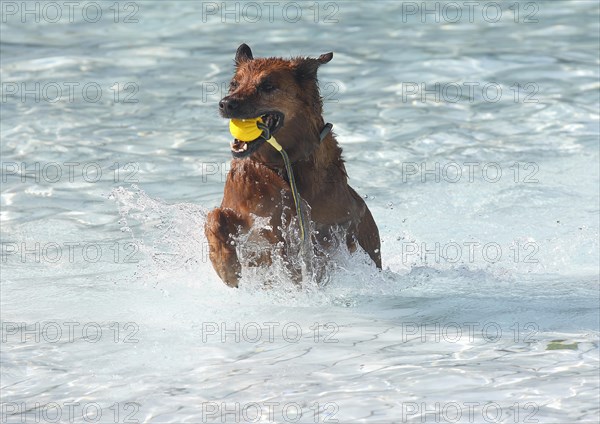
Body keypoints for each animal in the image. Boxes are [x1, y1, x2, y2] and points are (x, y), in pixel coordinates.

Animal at [205, 44, 380, 288]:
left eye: (267, 86)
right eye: (233, 84)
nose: (226, 103)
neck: (279, 166)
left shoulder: (326, 230)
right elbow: (214, 217)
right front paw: (226, 268)